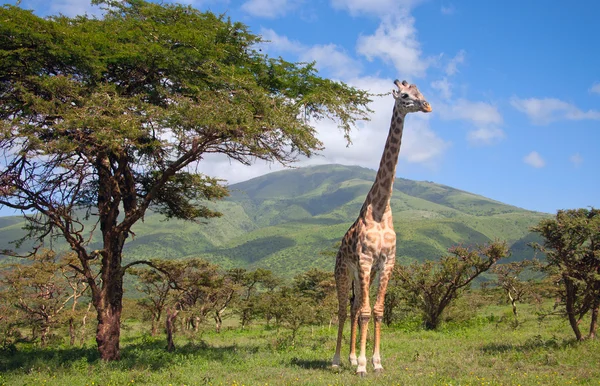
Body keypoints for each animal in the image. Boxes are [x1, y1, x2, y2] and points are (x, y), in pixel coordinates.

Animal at [332, 80, 432, 376]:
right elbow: (366, 312)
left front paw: (374, 362)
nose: (427, 106)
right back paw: (336, 360)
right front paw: (363, 366)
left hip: (361, 274)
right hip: (343, 271)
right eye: (405, 95)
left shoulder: (387, 262)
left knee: (354, 308)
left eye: (421, 93)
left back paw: (351, 358)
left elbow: (376, 311)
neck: (379, 208)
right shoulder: (365, 260)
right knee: (343, 310)